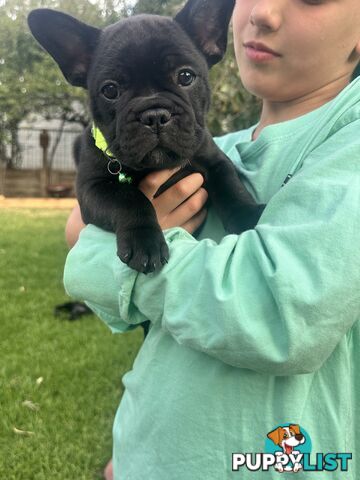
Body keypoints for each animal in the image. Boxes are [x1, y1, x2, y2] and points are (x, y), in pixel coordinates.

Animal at [28, 0, 264, 274]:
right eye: (110, 90)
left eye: (185, 76)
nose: (155, 115)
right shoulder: (92, 187)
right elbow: (129, 198)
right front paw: (144, 240)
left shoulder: (214, 160)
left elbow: (231, 186)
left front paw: (248, 215)